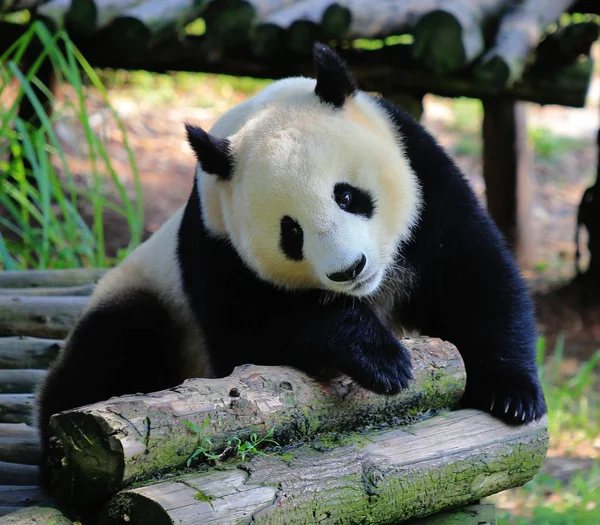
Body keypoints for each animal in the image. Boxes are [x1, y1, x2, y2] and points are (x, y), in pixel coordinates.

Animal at [35, 44, 548, 470]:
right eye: (292, 232)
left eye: (347, 195)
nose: (350, 269)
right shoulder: (214, 245)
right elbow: (248, 342)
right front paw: (379, 357)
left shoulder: (425, 178)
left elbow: (475, 277)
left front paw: (512, 395)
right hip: (145, 295)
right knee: (111, 346)